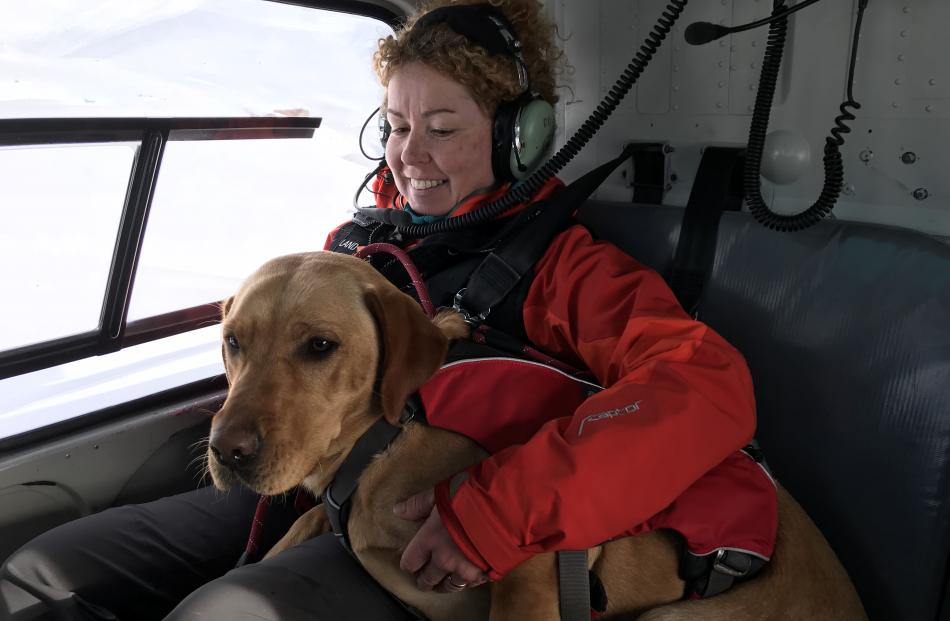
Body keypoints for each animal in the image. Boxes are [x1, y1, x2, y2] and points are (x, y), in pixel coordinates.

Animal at [208, 249, 872, 616]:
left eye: (320, 346)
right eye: (233, 342)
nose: (225, 452)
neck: (384, 439)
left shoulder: (540, 566)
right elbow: (295, 527)